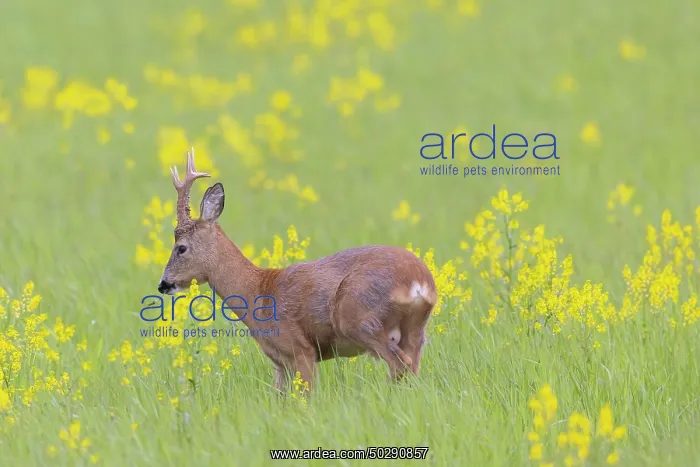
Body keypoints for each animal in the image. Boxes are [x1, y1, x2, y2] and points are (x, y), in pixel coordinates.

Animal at [157, 148, 438, 393]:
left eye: (181, 248)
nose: (163, 284)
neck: (257, 291)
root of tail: (419, 281)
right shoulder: (279, 362)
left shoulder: (301, 349)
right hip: (414, 329)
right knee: (411, 367)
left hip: (358, 318)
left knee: (400, 365)